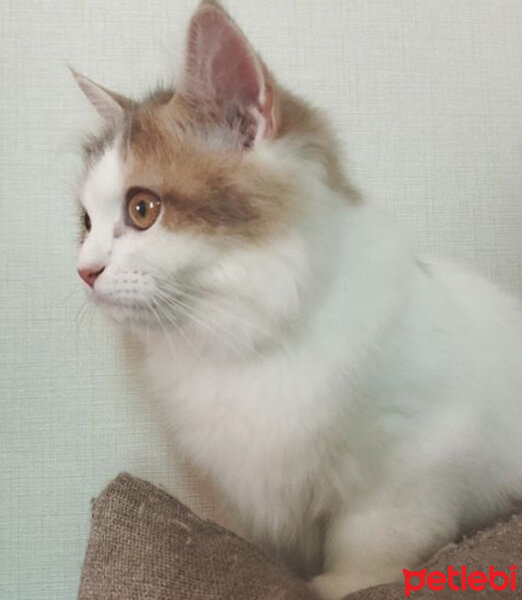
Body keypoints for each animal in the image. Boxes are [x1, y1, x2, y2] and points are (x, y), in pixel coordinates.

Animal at [72, 2, 520, 596]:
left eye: (143, 209)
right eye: (86, 224)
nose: (85, 271)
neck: (248, 331)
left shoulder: (412, 468)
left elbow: (373, 545)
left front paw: (343, 584)